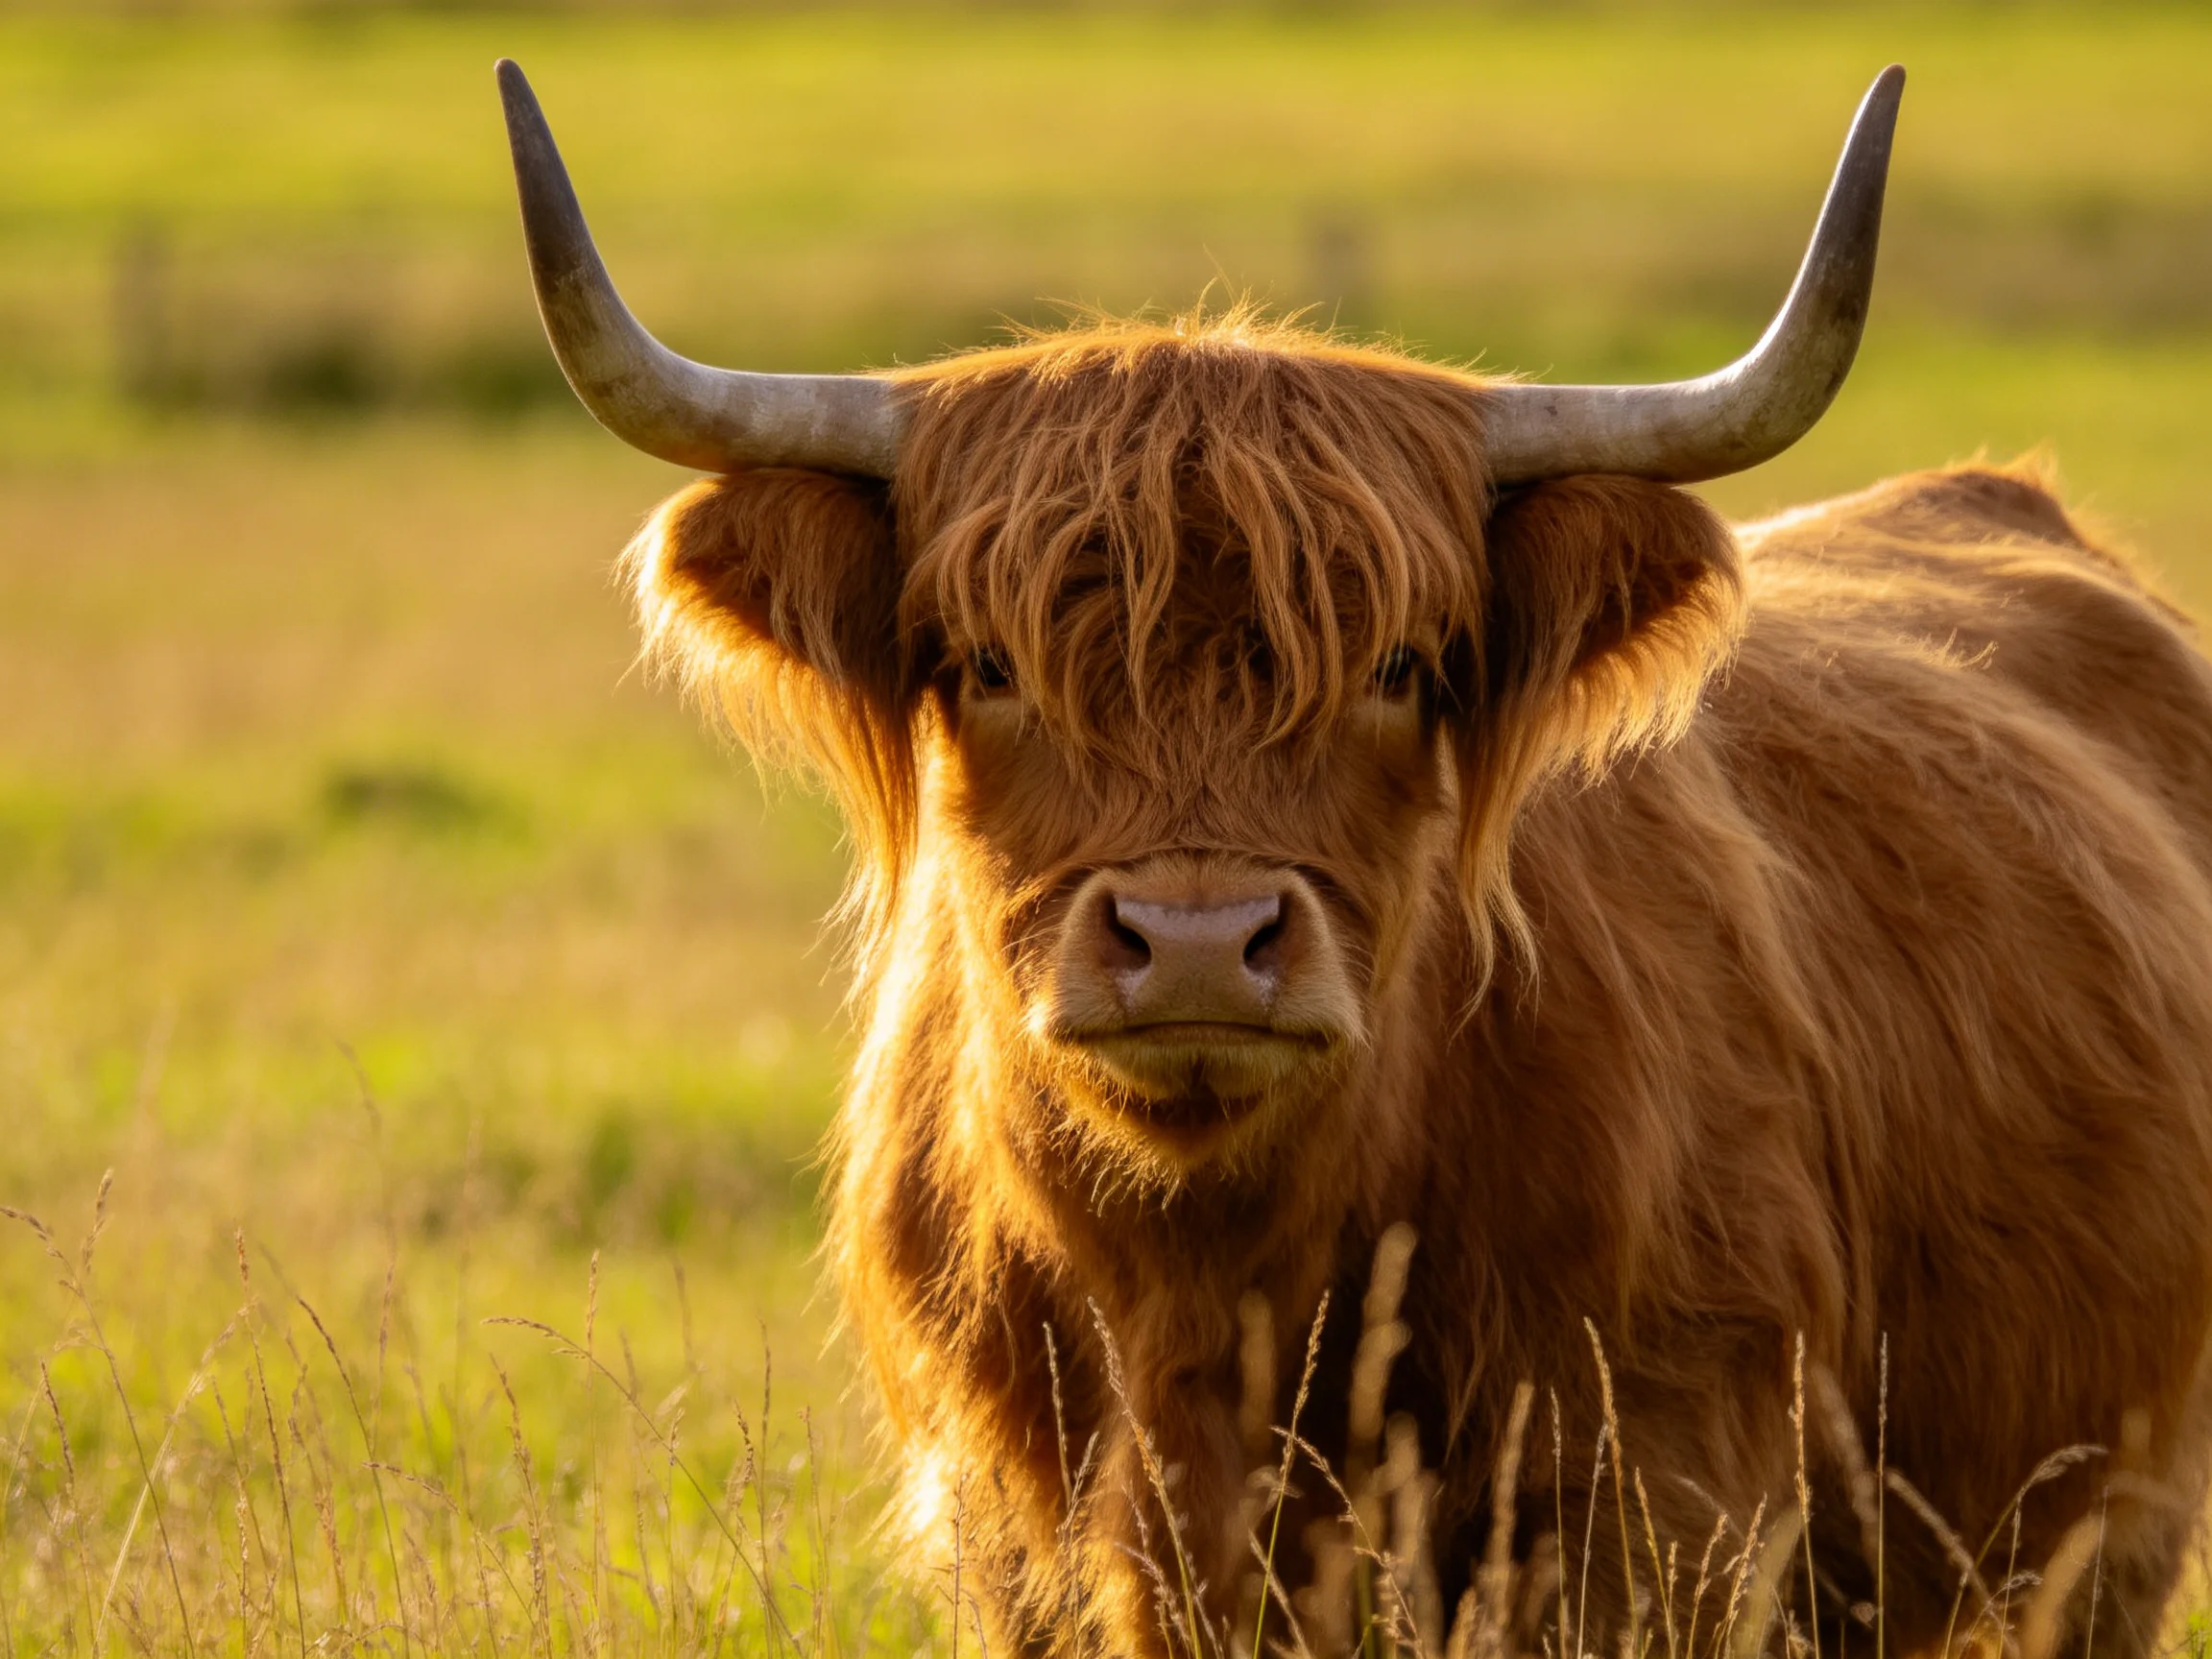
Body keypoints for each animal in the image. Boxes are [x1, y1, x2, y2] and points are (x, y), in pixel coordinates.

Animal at [496, 60, 2212, 1658]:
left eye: (1396, 665)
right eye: (987, 663)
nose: (1196, 943)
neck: (1210, 1287)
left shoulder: (1654, 1514)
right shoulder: (1010, 1537)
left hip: (2106, 1523)